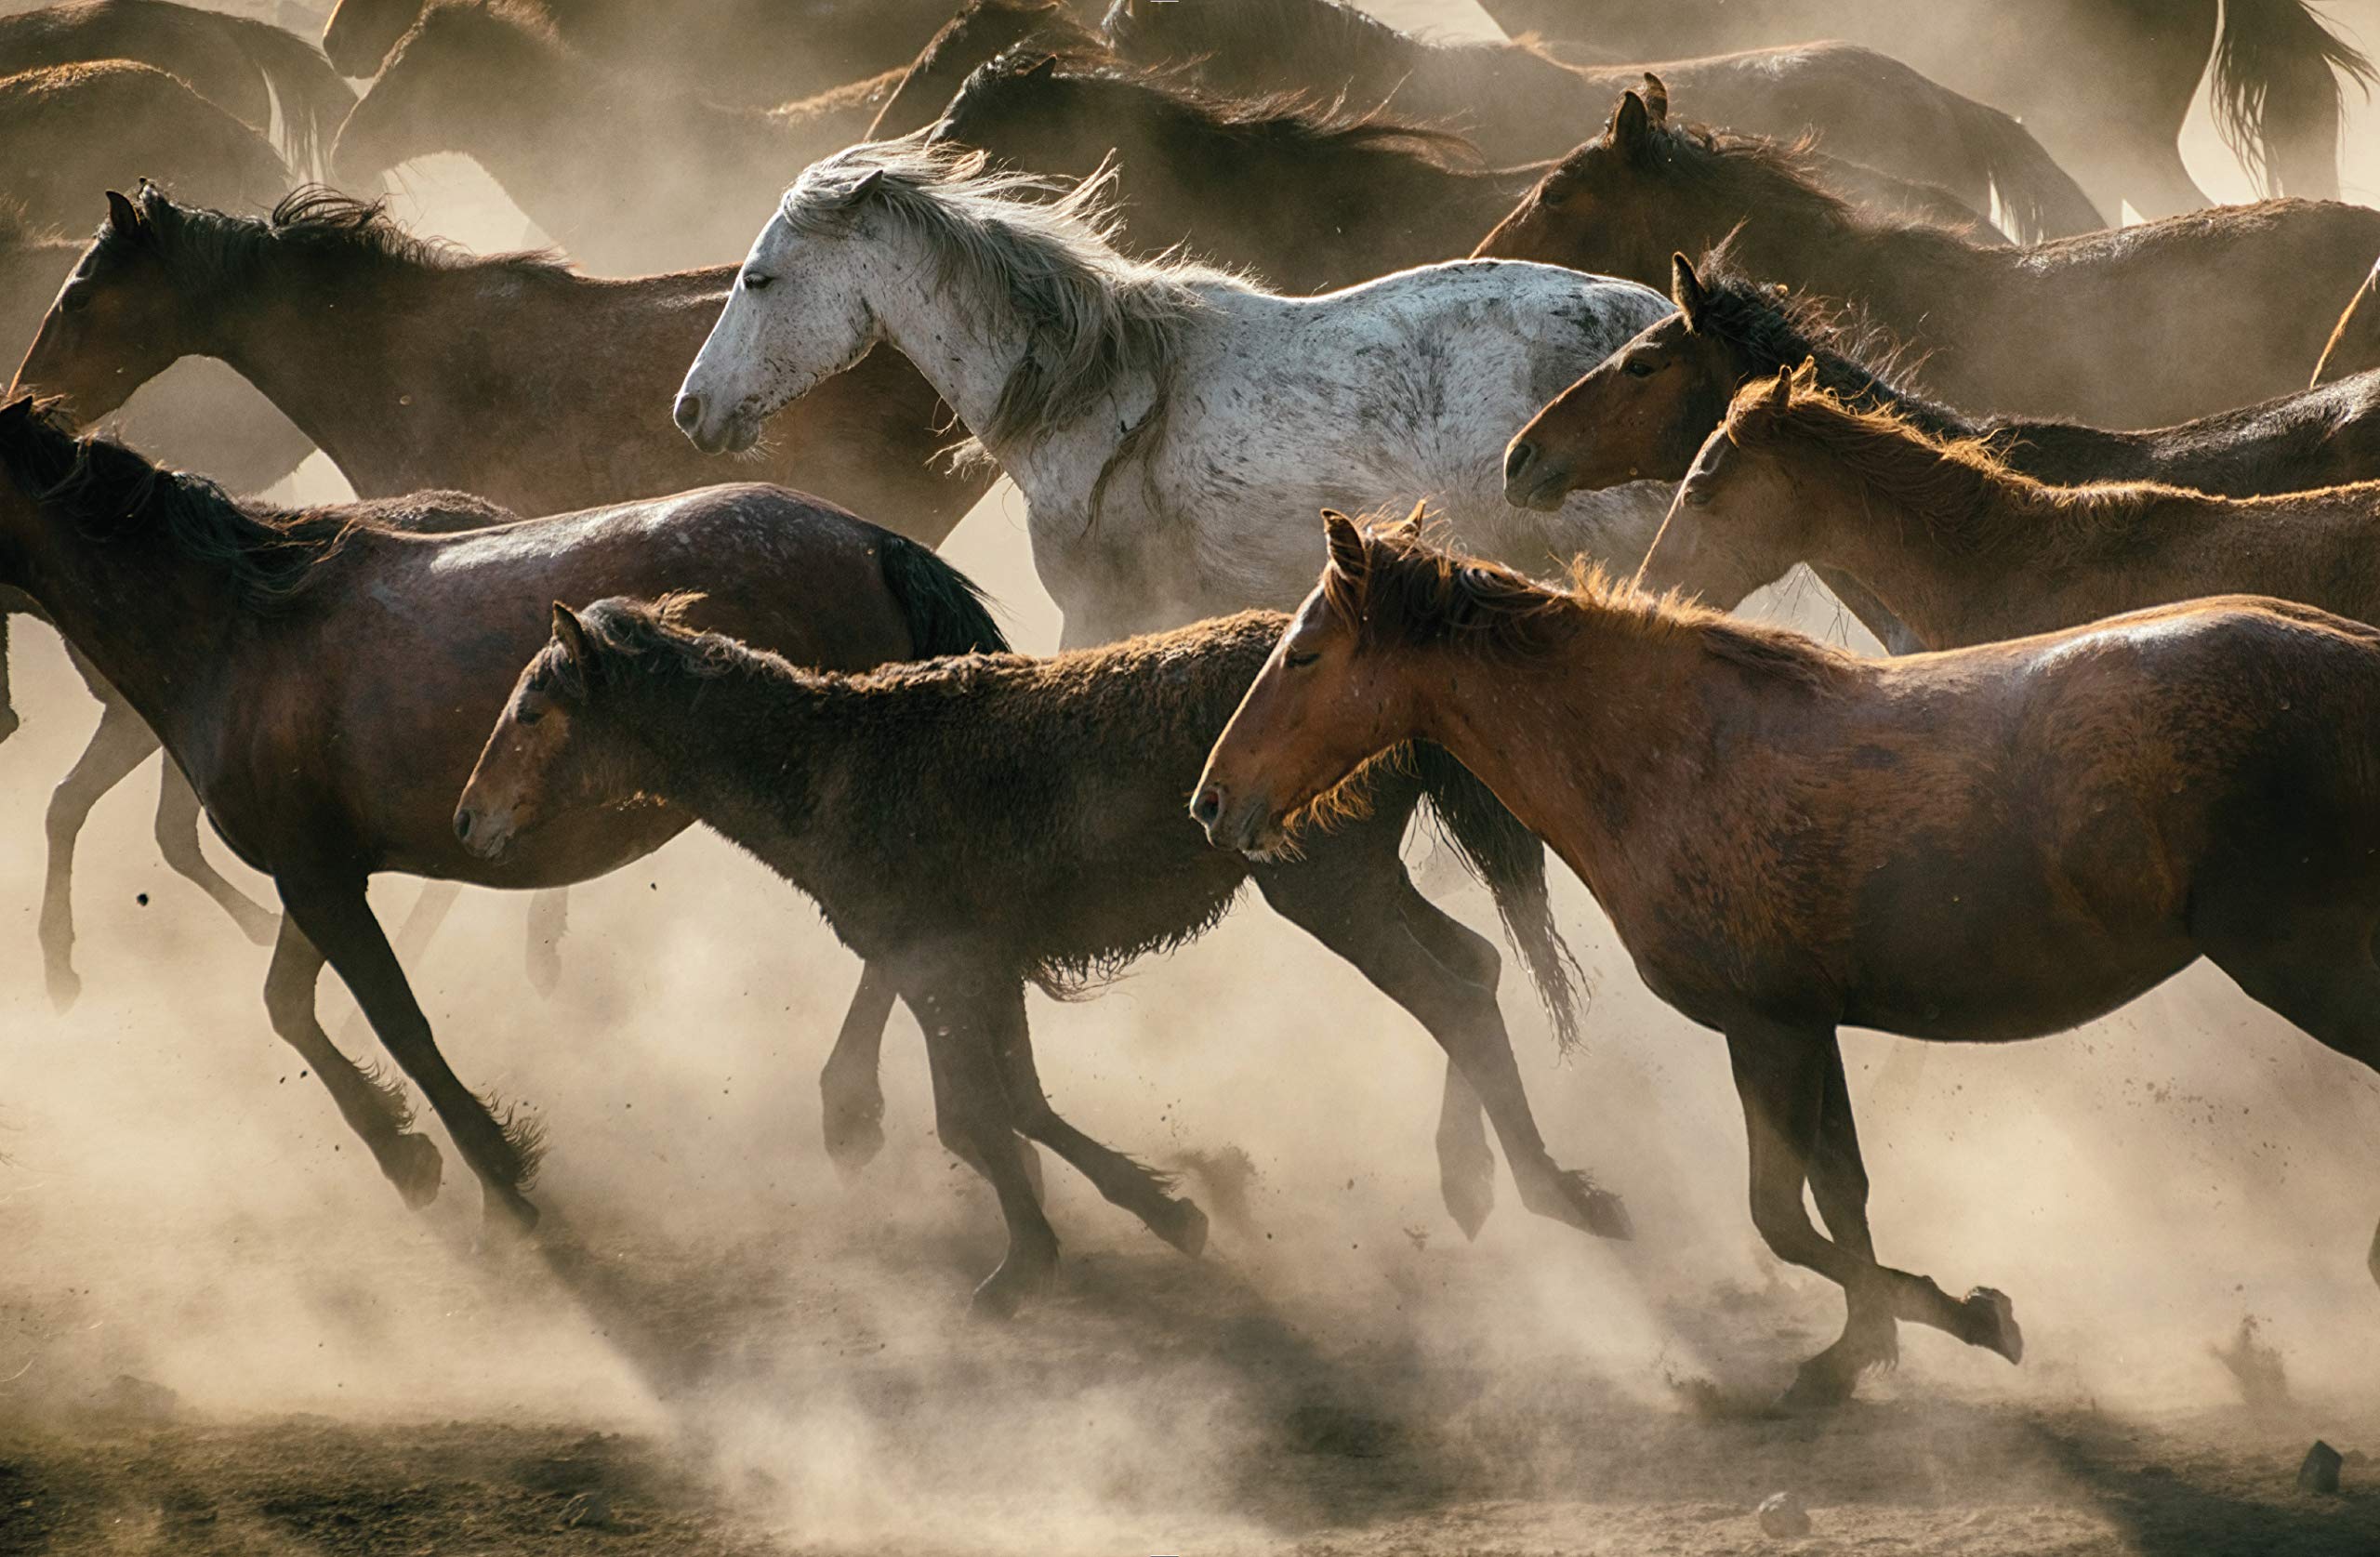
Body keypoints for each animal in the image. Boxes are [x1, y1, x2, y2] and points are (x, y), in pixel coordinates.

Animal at [0, 393, 1010, 1227]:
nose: (9, 717)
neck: (239, 625)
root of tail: (871, 542)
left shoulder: (319, 879)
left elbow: (396, 1021)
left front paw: (492, 1168)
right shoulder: (318, 873)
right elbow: (288, 1004)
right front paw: (405, 1153)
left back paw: (852, 1105)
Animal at [456, 596, 1624, 1312]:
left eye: (533, 706)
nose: (468, 819)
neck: (833, 760)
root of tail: (1405, 698)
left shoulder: (938, 967)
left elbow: (970, 1117)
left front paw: (1021, 1266)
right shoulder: (981, 966)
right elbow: (1017, 1103)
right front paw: (1167, 1211)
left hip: (1329, 889)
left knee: (1452, 998)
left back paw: (1558, 1196)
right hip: (1363, 884)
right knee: (1476, 970)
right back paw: (1474, 1179)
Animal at [1194, 515, 2380, 1406]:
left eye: (1303, 655)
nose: (1212, 801)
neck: (1667, 759)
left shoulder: (1765, 1029)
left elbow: (1780, 1216)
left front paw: (1969, 1318)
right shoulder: (1813, 1026)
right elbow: (1840, 1194)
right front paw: (1863, 1350)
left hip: (2305, 965)